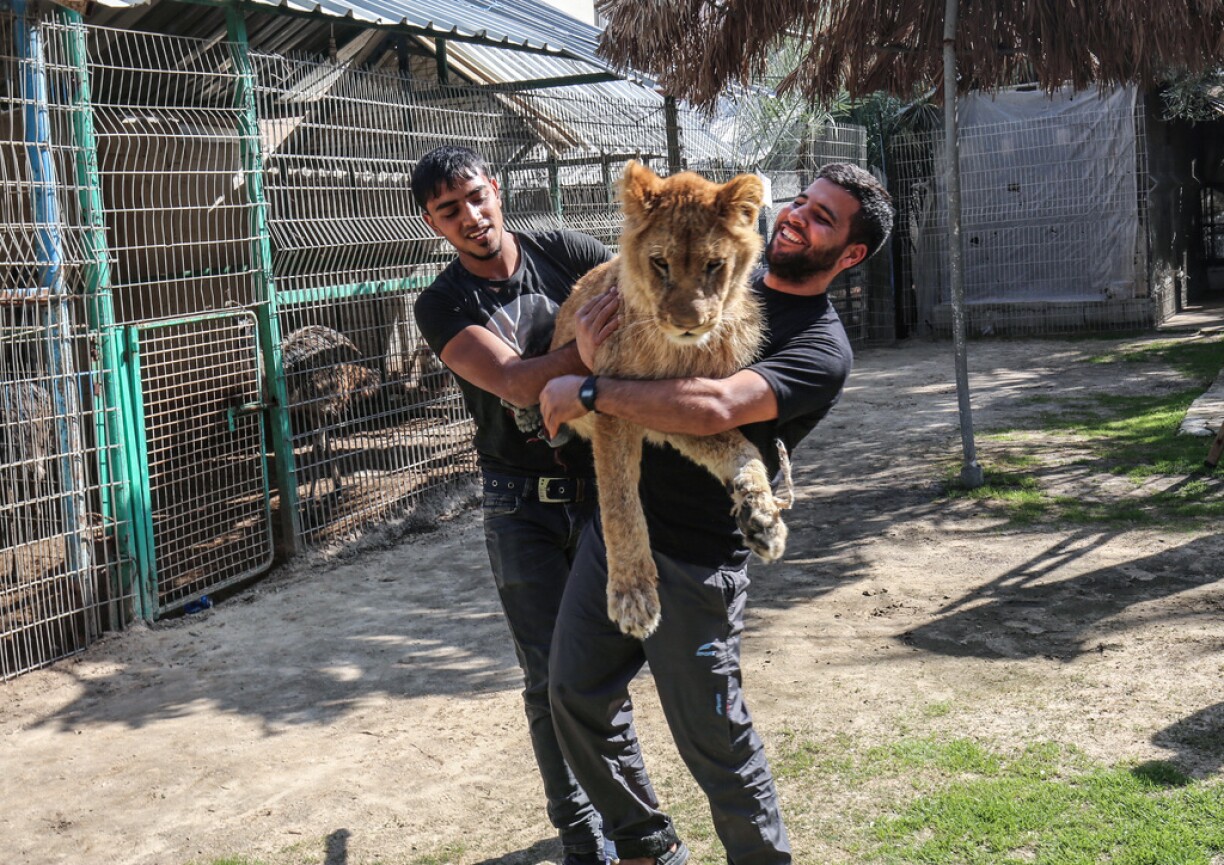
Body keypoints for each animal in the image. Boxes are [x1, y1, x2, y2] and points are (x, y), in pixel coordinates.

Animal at [550, 161, 789, 639]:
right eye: (660, 262)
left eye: (714, 265)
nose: (687, 323)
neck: (678, 352)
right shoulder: (613, 409)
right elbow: (620, 505)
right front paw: (632, 597)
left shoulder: (684, 410)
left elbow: (744, 449)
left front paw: (762, 516)